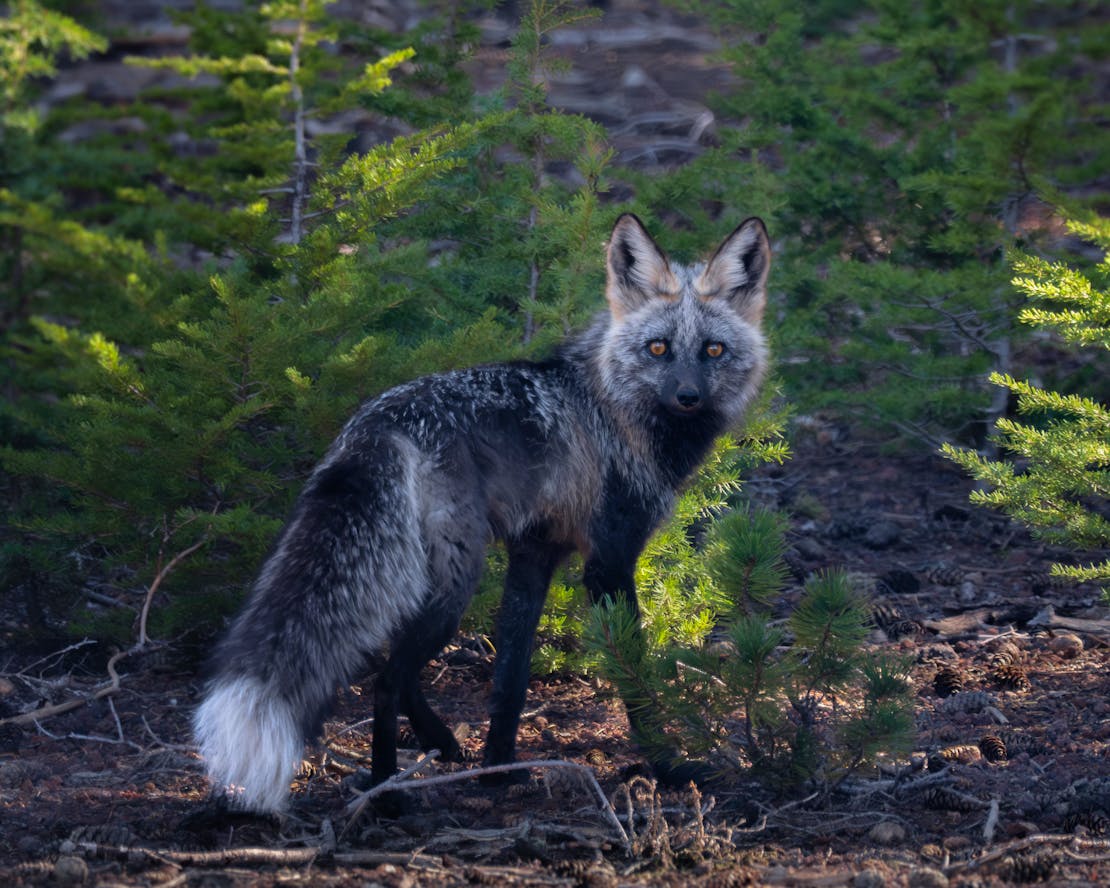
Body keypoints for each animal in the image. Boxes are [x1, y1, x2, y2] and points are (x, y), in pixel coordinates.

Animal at [193, 212, 771, 814]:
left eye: (713, 351)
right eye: (658, 348)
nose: (688, 397)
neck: (611, 407)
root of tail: (380, 422)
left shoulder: (535, 551)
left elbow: (510, 676)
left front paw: (498, 767)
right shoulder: (608, 561)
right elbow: (631, 676)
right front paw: (668, 766)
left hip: (429, 573)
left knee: (392, 666)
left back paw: (441, 744)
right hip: (456, 579)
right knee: (386, 679)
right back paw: (385, 790)